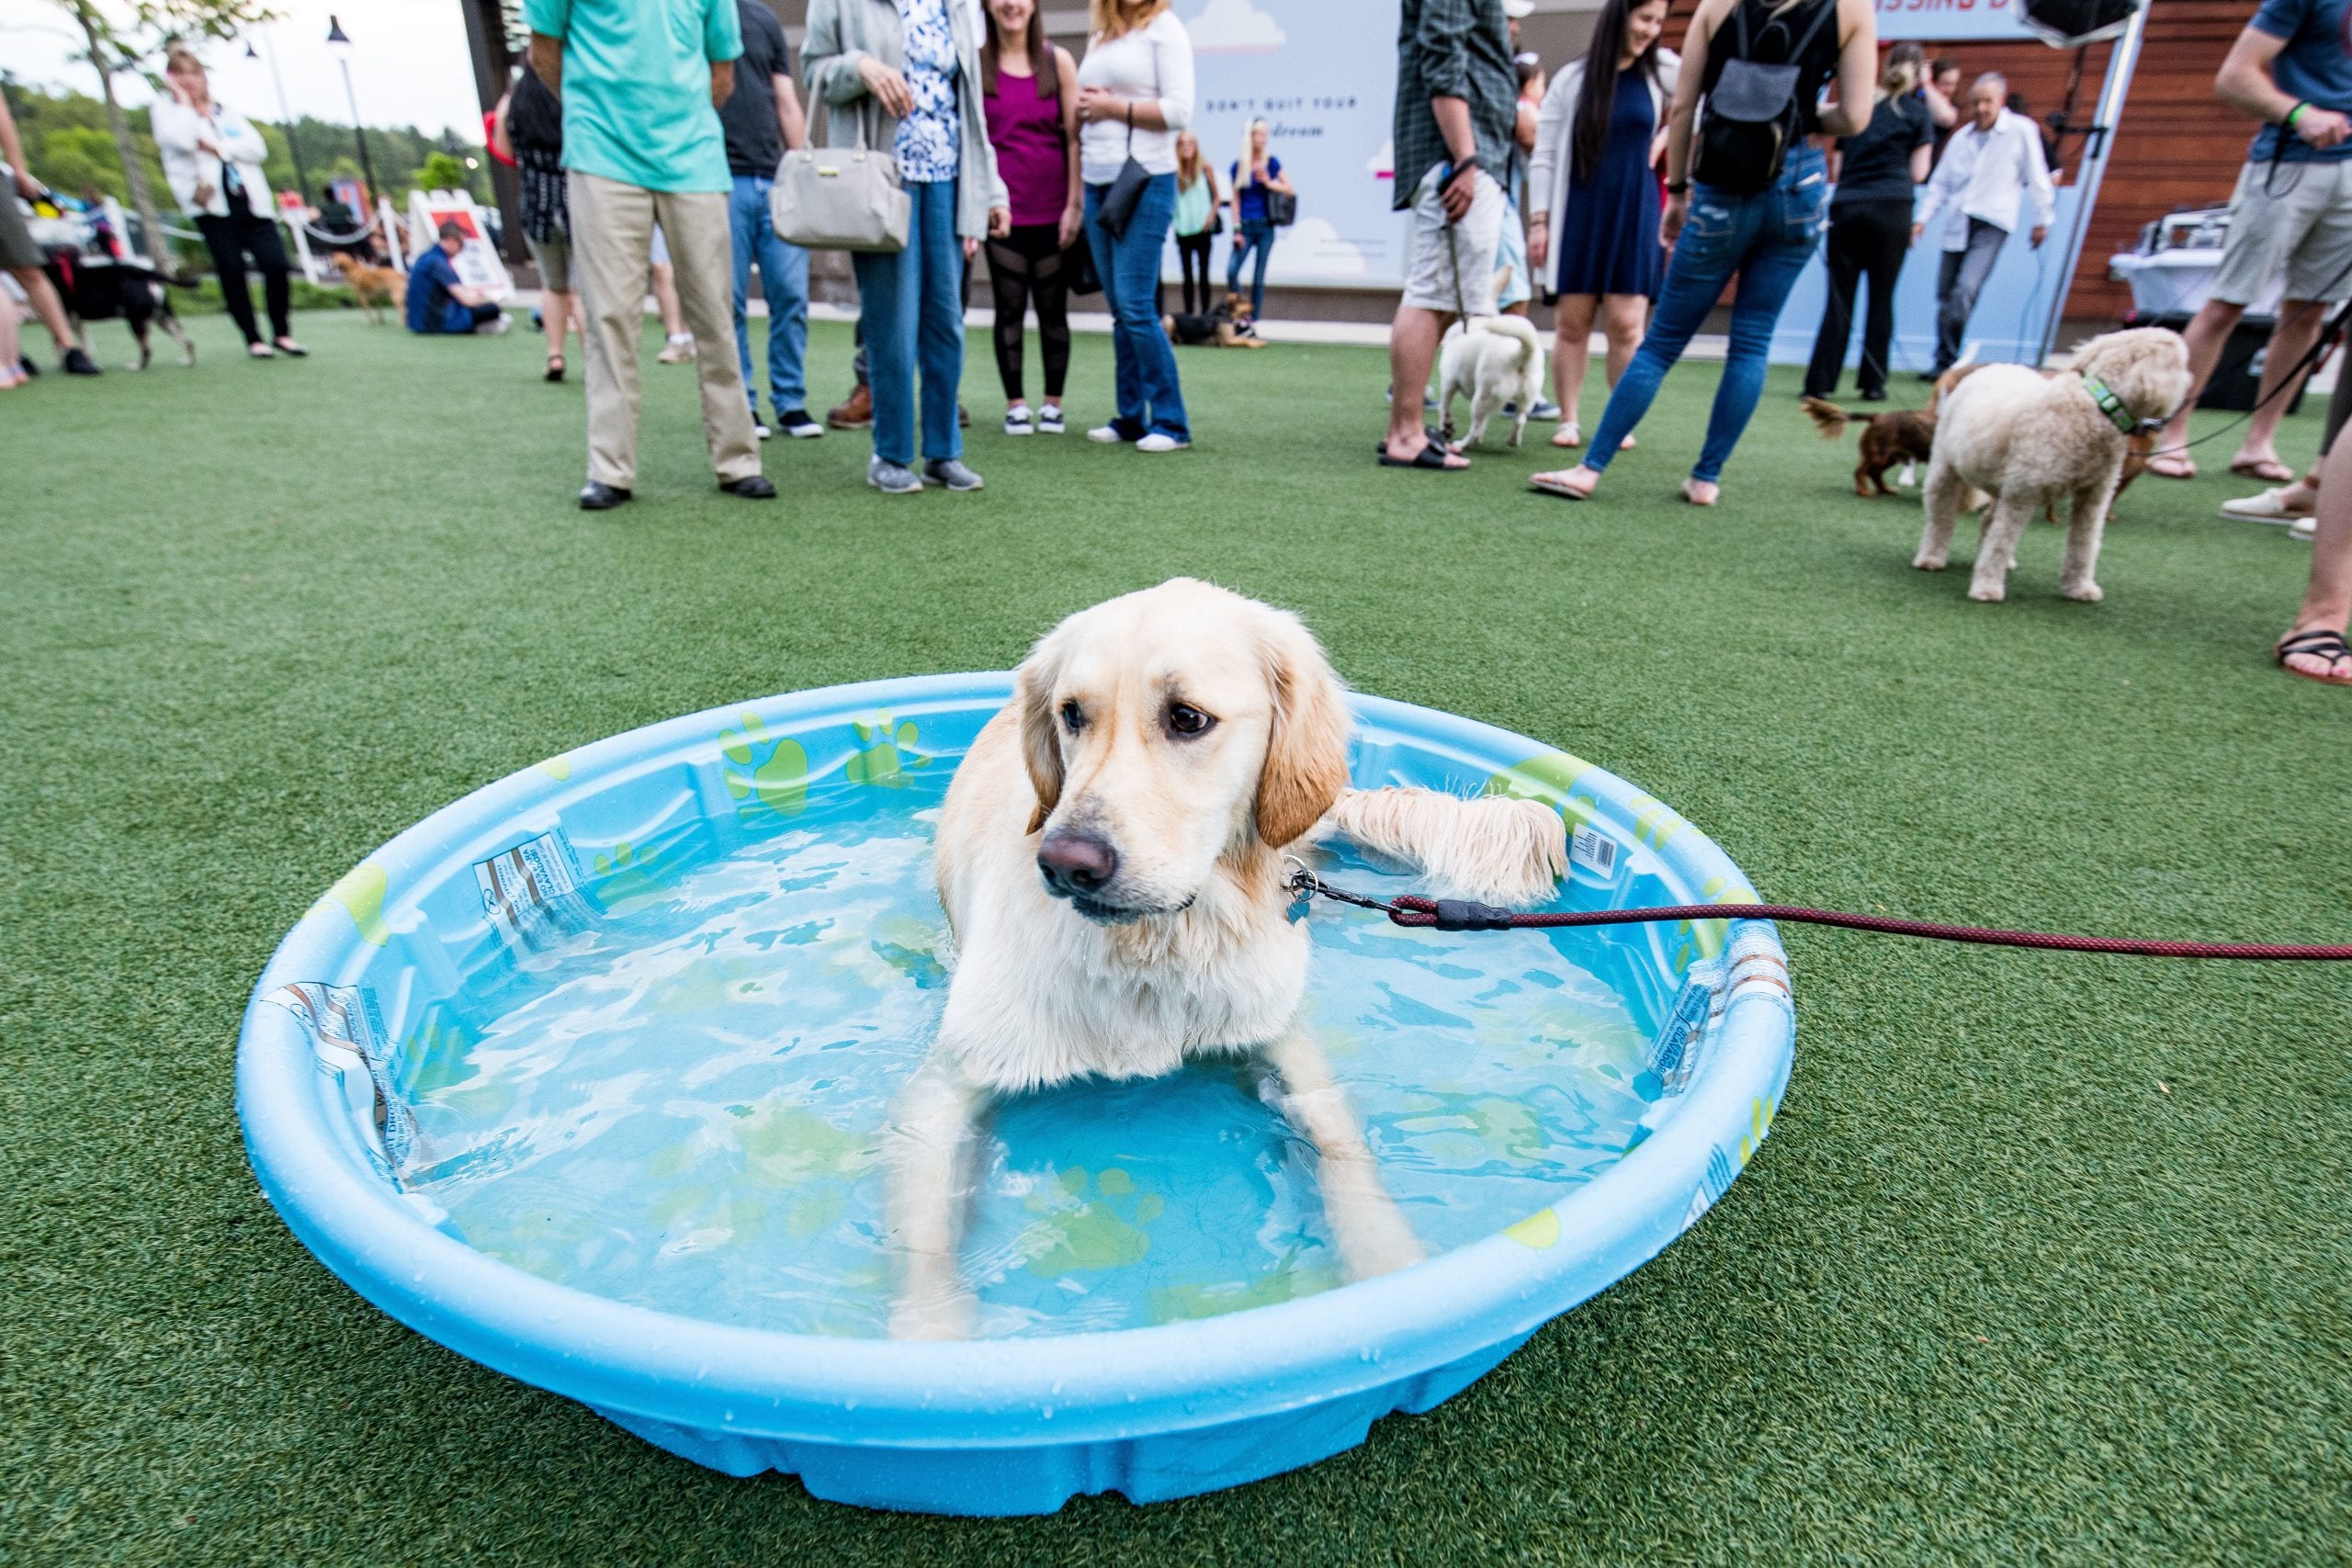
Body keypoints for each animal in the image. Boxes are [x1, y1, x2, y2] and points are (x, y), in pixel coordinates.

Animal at [888, 582, 1571, 1344]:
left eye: (1187, 717)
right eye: (1072, 715)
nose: (1065, 864)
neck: (1157, 948)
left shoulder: (1279, 1034)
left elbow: (1341, 1145)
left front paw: (1388, 1264)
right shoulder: (945, 1087)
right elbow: (926, 1243)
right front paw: (931, 1335)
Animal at [1430, 314, 1543, 446]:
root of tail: (1520, 353)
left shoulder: (1449, 383)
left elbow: (1443, 407)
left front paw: (1445, 426)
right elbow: (1484, 422)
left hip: (1481, 398)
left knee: (1475, 427)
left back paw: (1462, 444)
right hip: (1523, 400)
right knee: (1520, 420)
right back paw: (1512, 440)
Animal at [1918, 329, 2191, 606]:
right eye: (2182, 364)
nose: (2191, 385)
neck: (2098, 406)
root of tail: (1993, 366)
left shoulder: (2093, 497)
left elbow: (2084, 545)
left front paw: (2080, 588)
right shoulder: (2022, 495)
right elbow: (2001, 541)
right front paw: (1987, 588)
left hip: (2001, 482)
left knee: (1987, 520)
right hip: (1946, 469)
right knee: (1941, 518)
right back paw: (1931, 558)